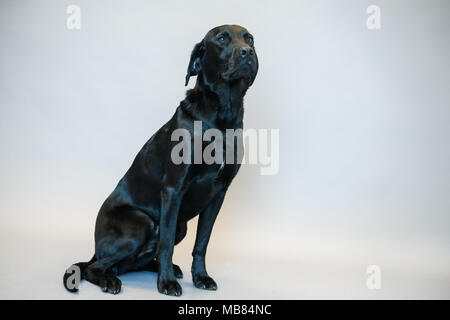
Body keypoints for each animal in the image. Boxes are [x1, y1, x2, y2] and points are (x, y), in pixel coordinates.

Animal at [64, 23, 258, 296]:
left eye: (250, 39)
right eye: (222, 39)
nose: (247, 52)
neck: (221, 119)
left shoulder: (218, 194)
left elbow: (202, 243)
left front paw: (200, 277)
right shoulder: (173, 190)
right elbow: (165, 245)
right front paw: (166, 284)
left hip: (180, 226)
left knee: (135, 262)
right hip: (141, 222)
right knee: (97, 266)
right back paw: (110, 280)